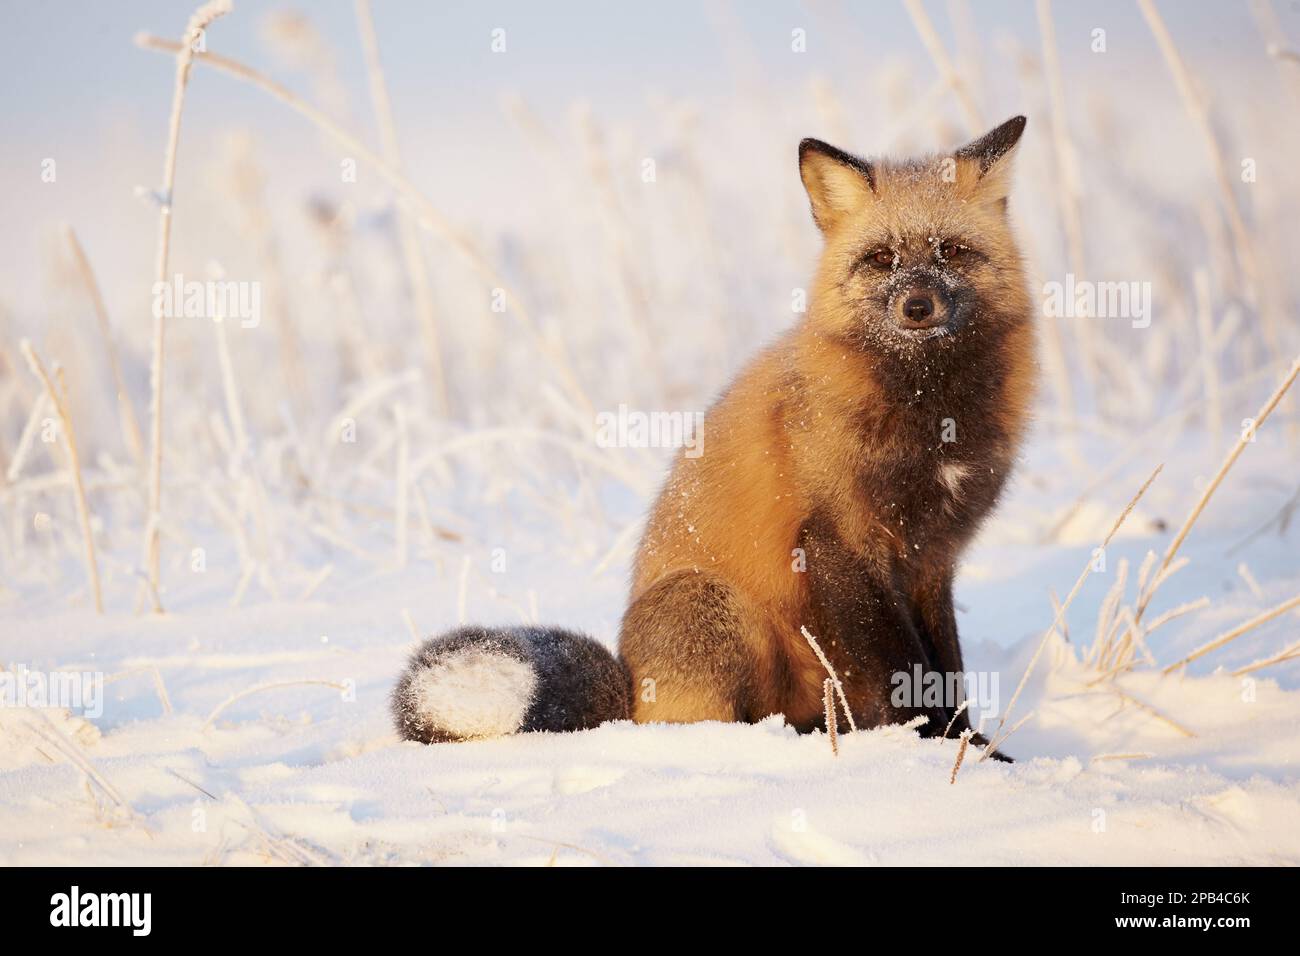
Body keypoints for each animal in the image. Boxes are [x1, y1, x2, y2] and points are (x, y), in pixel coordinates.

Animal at [393, 116, 1035, 759]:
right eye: (882, 258)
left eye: (952, 251)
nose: (917, 306)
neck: (928, 411)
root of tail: (627, 693)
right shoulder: (840, 543)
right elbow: (905, 673)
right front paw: (929, 751)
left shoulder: (932, 558)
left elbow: (946, 670)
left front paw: (973, 749)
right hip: (715, 606)